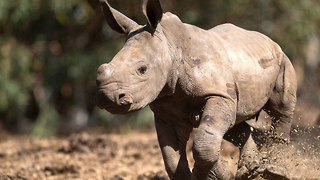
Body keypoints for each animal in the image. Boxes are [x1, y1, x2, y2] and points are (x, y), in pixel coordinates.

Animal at [95, 0, 298, 179]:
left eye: (142, 69)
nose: (107, 97)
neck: (170, 48)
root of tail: (270, 40)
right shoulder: (165, 109)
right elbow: (172, 159)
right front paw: (216, 174)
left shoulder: (218, 94)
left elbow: (203, 144)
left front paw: (216, 176)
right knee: (234, 124)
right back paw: (250, 171)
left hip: (282, 60)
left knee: (281, 110)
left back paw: (275, 172)